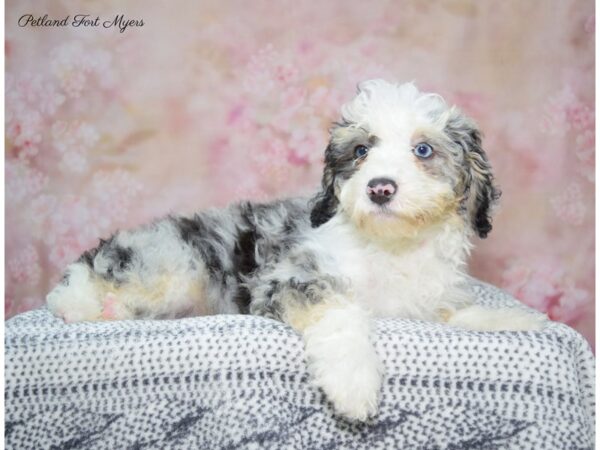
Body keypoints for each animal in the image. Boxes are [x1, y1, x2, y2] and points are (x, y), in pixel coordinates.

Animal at [47, 80, 544, 422]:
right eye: (361, 151)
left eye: (423, 150)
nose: (380, 188)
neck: (391, 247)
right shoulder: (289, 278)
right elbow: (340, 313)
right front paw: (353, 383)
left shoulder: (428, 302)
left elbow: (460, 314)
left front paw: (517, 321)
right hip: (176, 265)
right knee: (83, 287)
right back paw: (90, 306)